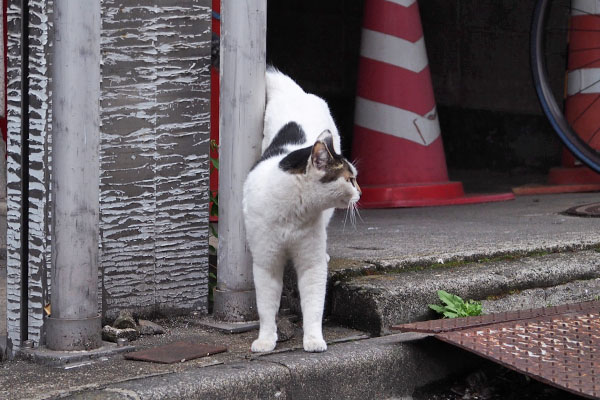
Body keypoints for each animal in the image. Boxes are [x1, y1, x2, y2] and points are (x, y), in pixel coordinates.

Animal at [240, 69, 360, 354]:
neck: (293, 212)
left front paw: (314, 339)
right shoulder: (266, 261)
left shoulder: (310, 262)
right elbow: (266, 306)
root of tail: (297, 93)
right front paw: (265, 340)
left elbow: (314, 303)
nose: (360, 192)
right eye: (350, 179)